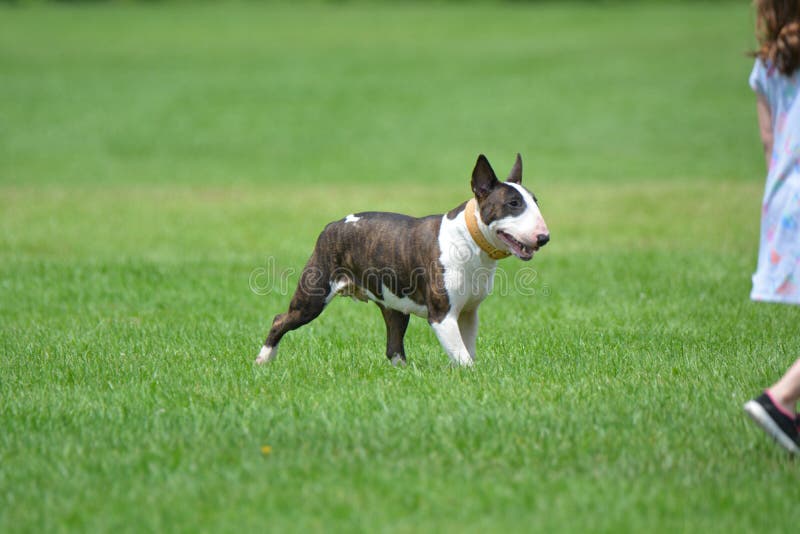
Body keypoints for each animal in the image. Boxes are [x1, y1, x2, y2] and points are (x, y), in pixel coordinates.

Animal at [256, 153, 552, 366]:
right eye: (513, 204)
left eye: (535, 201)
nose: (544, 237)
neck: (470, 238)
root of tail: (332, 224)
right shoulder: (442, 315)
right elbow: (463, 357)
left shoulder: (469, 313)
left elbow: (467, 350)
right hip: (313, 296)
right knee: (280, 319)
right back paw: (263, 359)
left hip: (393, 305)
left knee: (393, 345)